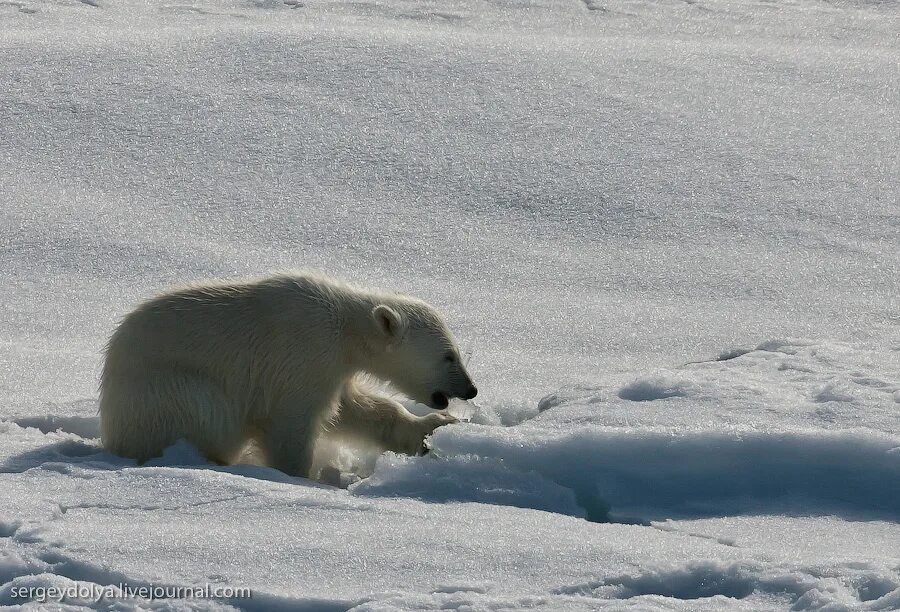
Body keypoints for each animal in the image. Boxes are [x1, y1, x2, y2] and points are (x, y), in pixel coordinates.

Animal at [99, 272, 478, 478]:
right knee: (209, 411)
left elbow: (354, 410)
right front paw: (303, 479)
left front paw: (429, 431)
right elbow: (293, 423)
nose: (471, 389)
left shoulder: (331, 369)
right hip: (166, 391)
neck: (344, 327)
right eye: (449, 355)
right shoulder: (303, 354)